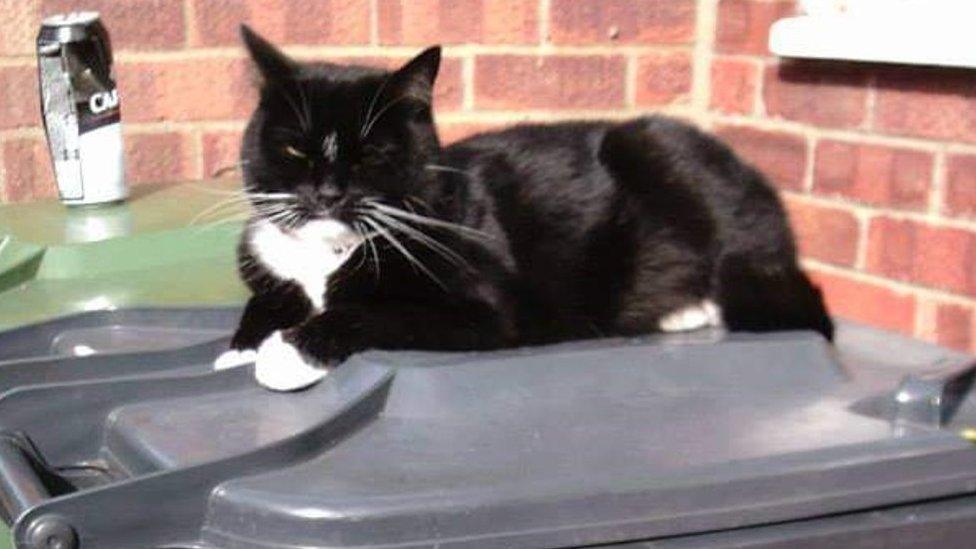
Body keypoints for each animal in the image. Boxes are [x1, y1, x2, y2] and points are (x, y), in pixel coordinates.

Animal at [217, 23, 836, 388]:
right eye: (294, 148)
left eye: (373, 154)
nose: (327, 193)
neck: (328, 255)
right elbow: (263, 299)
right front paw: (240, 348)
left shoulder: (487, 308)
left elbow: (370, 312)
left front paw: (287, 353)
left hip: (666, 159)